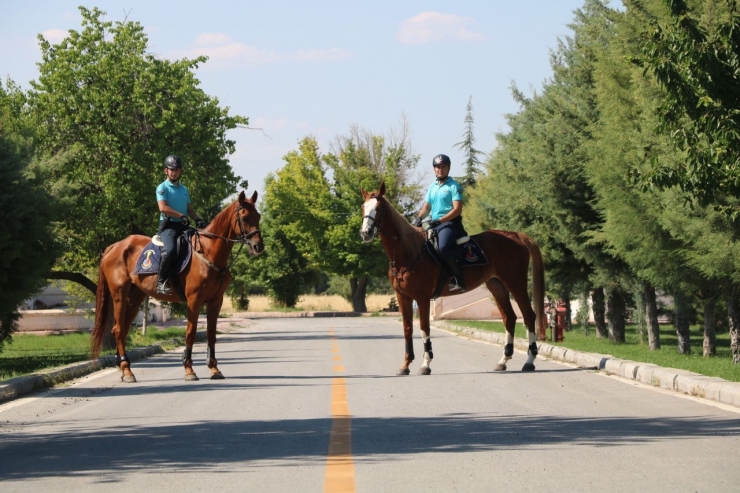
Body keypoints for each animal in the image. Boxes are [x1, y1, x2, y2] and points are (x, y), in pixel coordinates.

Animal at [91, 190, 264, 382]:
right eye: (244, 217)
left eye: (258, 216)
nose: (258, 246)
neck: (209, 252)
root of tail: (114, 246)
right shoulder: (194, 300)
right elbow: (191, 332)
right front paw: (189, 369)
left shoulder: (215, 301)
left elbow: (211, 333)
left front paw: (214, 369)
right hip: (119, 294)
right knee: (118, 328)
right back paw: (127, 371)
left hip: (135, 297)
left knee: (123, 329)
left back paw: (123, 368)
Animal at [362, 183, 548, 374]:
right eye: (363, 207)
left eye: (379, 208)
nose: (366, 232)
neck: (408, 253)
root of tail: (516, 235)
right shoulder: (403, 297)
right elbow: (407, 329)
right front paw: (405, 365)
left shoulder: (422, 298)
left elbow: (424, 328)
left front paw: (425, 364)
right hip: (497, 286)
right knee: (509, 318)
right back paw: (503, 360)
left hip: (515, 284)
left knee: (528, 316)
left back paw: (529, 361)